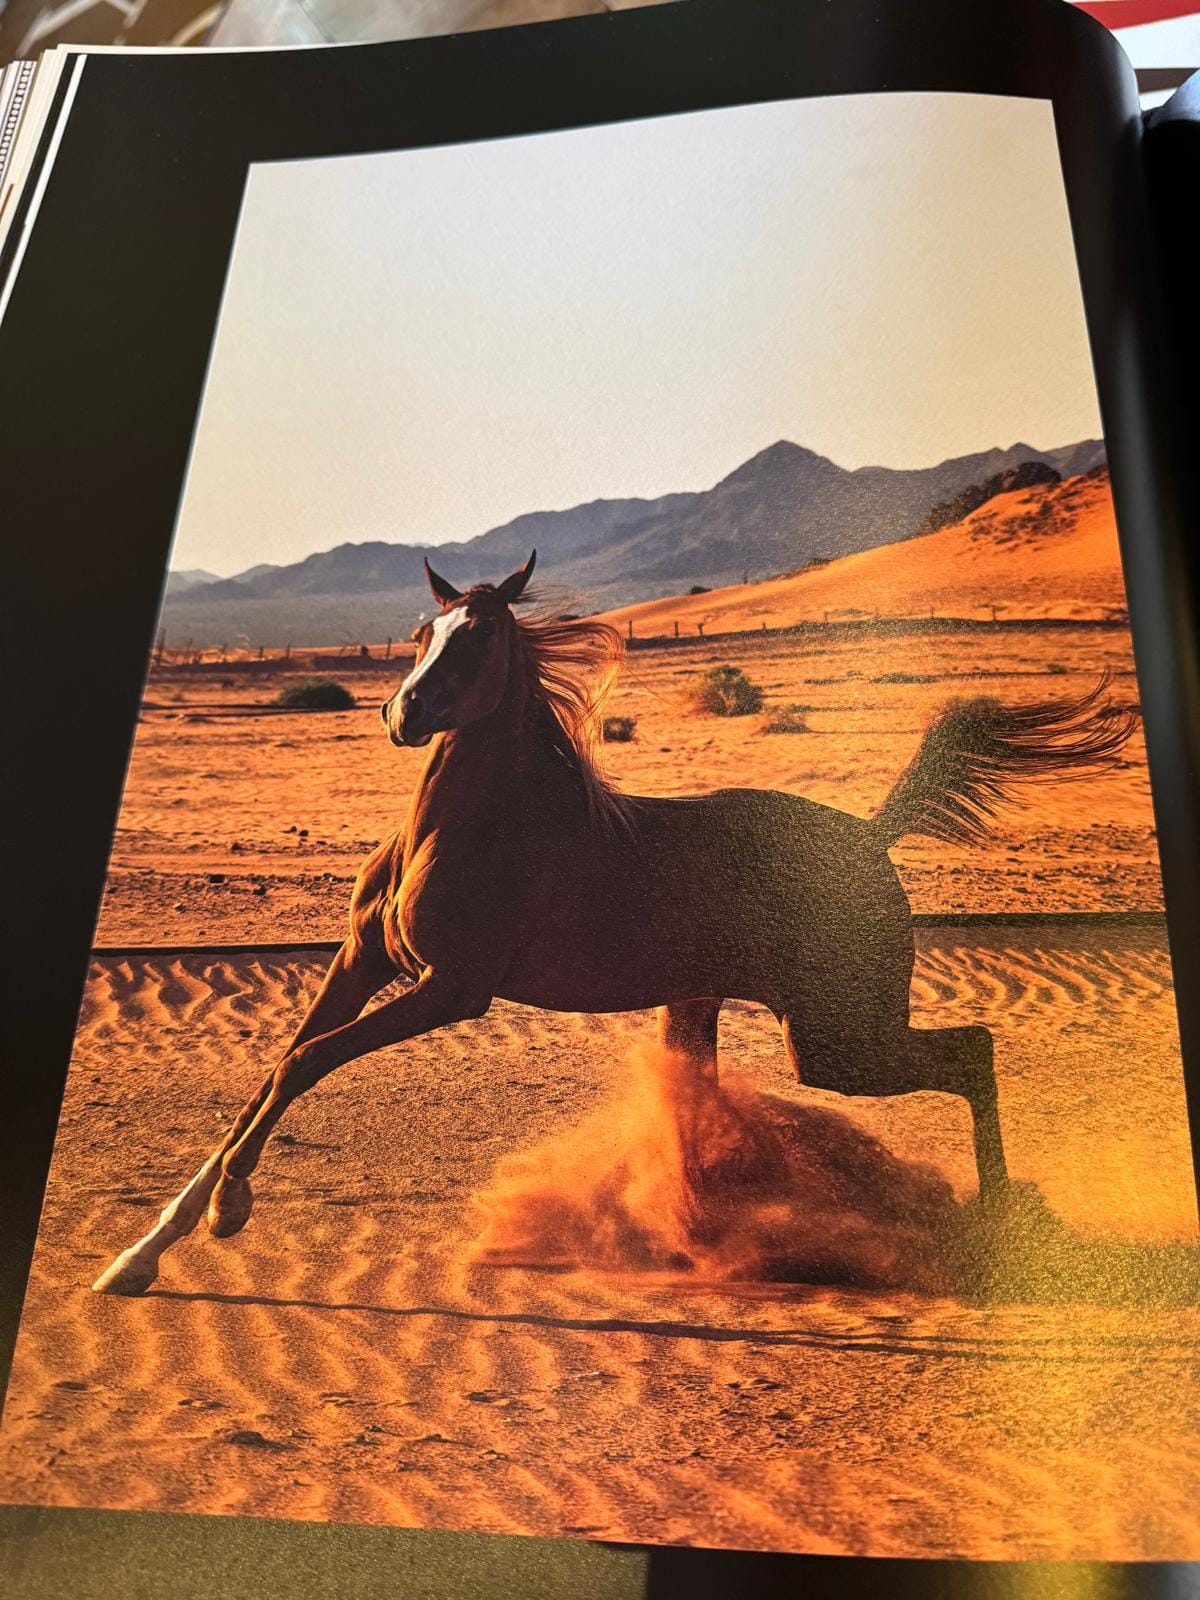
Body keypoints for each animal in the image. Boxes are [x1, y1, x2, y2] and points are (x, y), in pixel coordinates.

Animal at [93, 552, 1135, 1295]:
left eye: (478, 640)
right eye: (424, 629)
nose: (403, 712)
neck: (476, 825)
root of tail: (870, 835)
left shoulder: (451, 990)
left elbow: (303, 1065)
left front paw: (229, 1210)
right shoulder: (361, 962)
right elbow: (274, 1072)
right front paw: (142, 1254)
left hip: (839, 1038)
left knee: (974, 1051)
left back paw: (999, 1227)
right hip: (732, 1013)